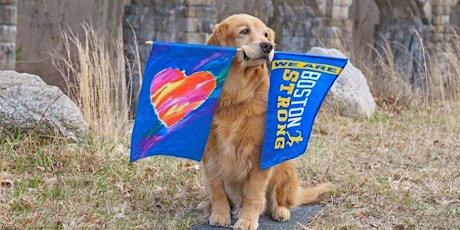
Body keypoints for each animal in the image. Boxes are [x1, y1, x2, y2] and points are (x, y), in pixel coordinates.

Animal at [201, 14, 334, 230]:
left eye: (265, 34)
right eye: (244, 31)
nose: (268, 46)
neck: (236, 96)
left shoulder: (258, 152)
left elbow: (255, 193)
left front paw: (247, 219)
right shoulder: (210, 151)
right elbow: (217, 188)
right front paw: (220, 213)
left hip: (285, 165)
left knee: (278, 199)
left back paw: (280, 210)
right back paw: (207, 204)